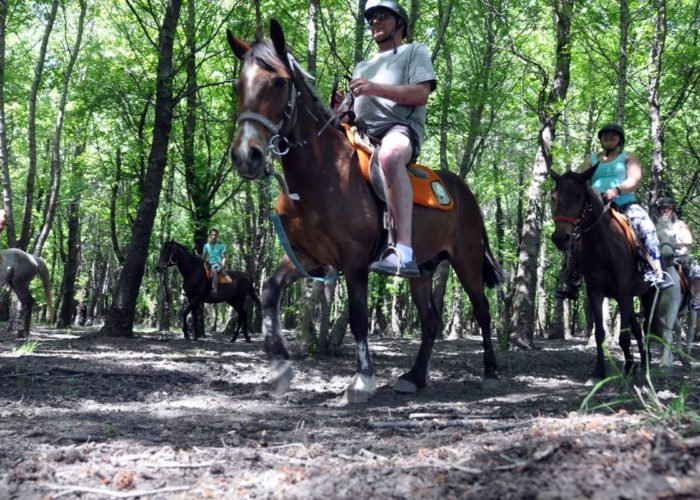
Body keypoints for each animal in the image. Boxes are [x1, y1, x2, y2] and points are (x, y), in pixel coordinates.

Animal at [227, 20, 506, 402]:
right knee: (430, 319)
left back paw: (491, 372)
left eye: (280, 82)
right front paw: (281, 369)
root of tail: (465, 192)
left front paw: (362, 380)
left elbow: (358, 317)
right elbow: (269, 292)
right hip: (422, 271)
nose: (246, 156)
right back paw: (414, 377)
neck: (322, 175)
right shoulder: (307, 256)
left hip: (466, 259)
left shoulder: (355, 260)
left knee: (482, 309)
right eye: (238, 85)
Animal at [548, 167, 652, 378]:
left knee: (646, 328)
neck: (604, 246)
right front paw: (600, 371)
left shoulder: (623, 293)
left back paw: (647, 362)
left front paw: (628, 368)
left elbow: (624, 336)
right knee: (638, 329)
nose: (560, 238)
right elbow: (600, 334)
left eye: (579, 196)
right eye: (553, 197)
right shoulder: (595, 292)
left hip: (648, 293)